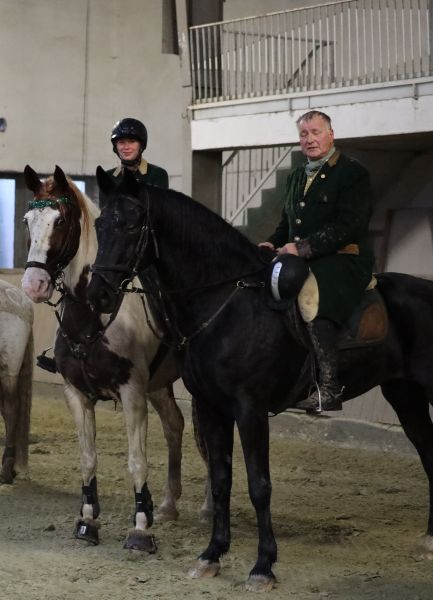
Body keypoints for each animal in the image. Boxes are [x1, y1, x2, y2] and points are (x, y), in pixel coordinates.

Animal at [22, 165, 209, 551]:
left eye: (60, 221)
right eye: (27, 220)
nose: (33, 284)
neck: (92, 316)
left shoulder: (132, 393)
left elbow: (137, 461)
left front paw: (141, 529)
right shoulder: (77, 395)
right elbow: (87, 459)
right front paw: (87, 521)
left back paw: (208, 509)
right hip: (159, 385)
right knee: (174, 425)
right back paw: (168, 504)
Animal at [88, 166, 433, 592]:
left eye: (134, 224)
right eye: (100, 224)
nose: (98, 294)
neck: (224, 302)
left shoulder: (250, 409)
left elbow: (259, 485)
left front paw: (263, 565)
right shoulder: (212, 407)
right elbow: (222, 479)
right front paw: (211, 555)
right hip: (406, 396)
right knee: (429, 454)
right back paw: (430, 540)